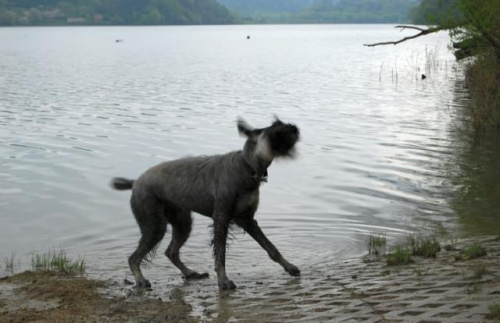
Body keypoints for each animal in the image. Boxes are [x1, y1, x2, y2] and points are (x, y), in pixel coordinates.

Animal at [111, 118, 300, 292]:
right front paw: (223, 281)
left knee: (171, 251)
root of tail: (135, 182)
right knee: (134, 258)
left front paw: (290, 267)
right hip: (155, 226)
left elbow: (271, 248)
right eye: (277, 130)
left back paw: (189, 273)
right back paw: (141, 280)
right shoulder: (221, 219)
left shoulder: (247, 220)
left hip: (182, 224)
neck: (246, 167)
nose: (295, 128)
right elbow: (220, 254)